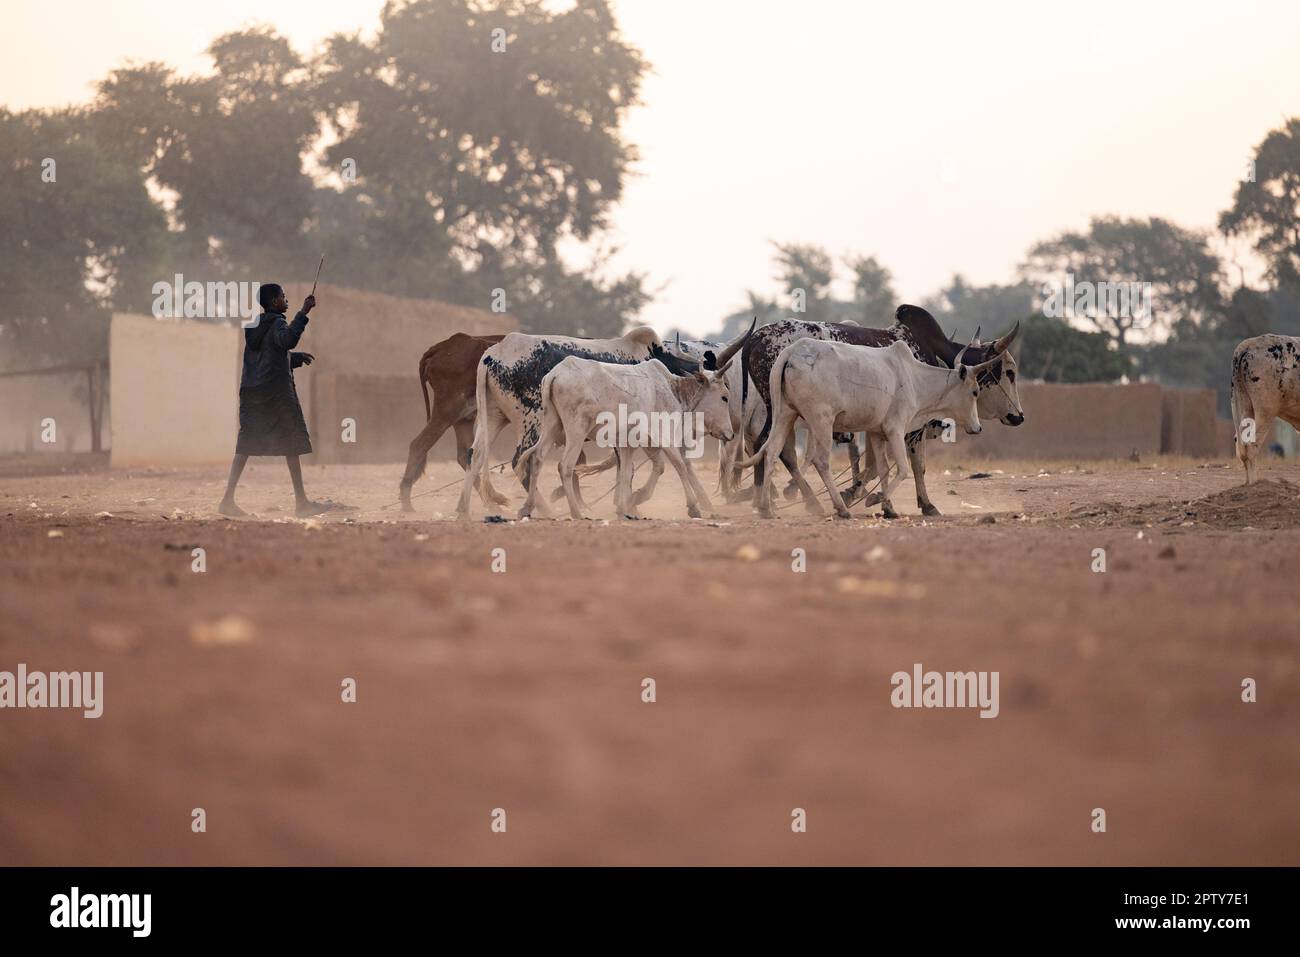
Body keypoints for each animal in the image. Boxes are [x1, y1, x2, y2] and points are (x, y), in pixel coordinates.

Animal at [395, 335, 501, 514]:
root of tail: (442, 346)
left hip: (463, 417)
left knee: (466, 455)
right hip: (447, 411)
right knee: (418, 445)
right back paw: (406, 503)